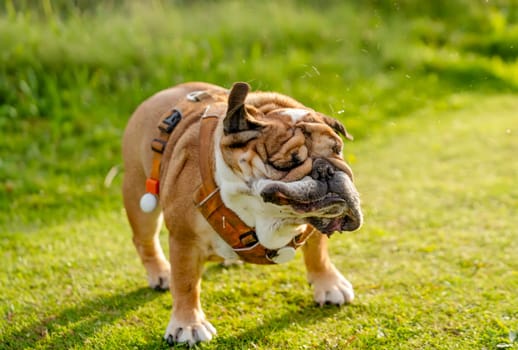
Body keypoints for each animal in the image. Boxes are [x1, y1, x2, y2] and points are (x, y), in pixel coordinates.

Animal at [123, 81, 364, 344]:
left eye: (337, 150)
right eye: (283, 165)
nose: (325, 170)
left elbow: (317, 253)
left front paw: (329, 285)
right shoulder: (185, 239)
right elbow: (186, 282)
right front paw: (188, 325)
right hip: (139, 199)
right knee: (144, 240)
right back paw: (161, 274)